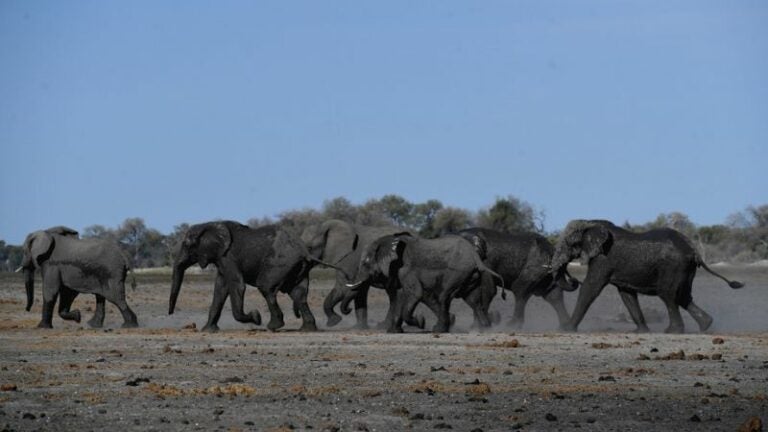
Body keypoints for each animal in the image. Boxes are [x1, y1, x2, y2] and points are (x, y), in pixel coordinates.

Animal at [172, 221, 338, 332]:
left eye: (186, 245)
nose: (170, 313)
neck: (208, 224)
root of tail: (305, 251)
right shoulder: (220, 258)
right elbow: (220, 289)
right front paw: (207, 330)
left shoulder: (228, 256)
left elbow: (237, 285)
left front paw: (256, 317)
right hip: (297, 269)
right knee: (299, 295)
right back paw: (306, 329)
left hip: (280, 263)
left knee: (266, 287)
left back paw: (272, 326)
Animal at [346, 235, 504, 332]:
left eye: (365, 263)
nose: (348, 309)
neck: (389, 240)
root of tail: (476, 256)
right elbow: (400, 295)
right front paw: (393, 331)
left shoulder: (405, 268)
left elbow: (415, 294)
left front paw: (420, 322)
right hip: (470, 275)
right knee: (473, 300)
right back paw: (485, 329)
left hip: (458, 271)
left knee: (445, 296)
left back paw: (439, 329)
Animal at [552, 219, 744, 334]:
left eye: (570, 244)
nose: (573, 279)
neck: (590, 223)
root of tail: (694, 250)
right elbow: (627, 294)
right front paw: (641, 332)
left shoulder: (602, 259)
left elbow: (590, 287)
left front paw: (567, 329)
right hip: (686, 269)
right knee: (683, 296)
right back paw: (706, 326)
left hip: (673, 266)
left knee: (668, 294)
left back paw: (672, 331)